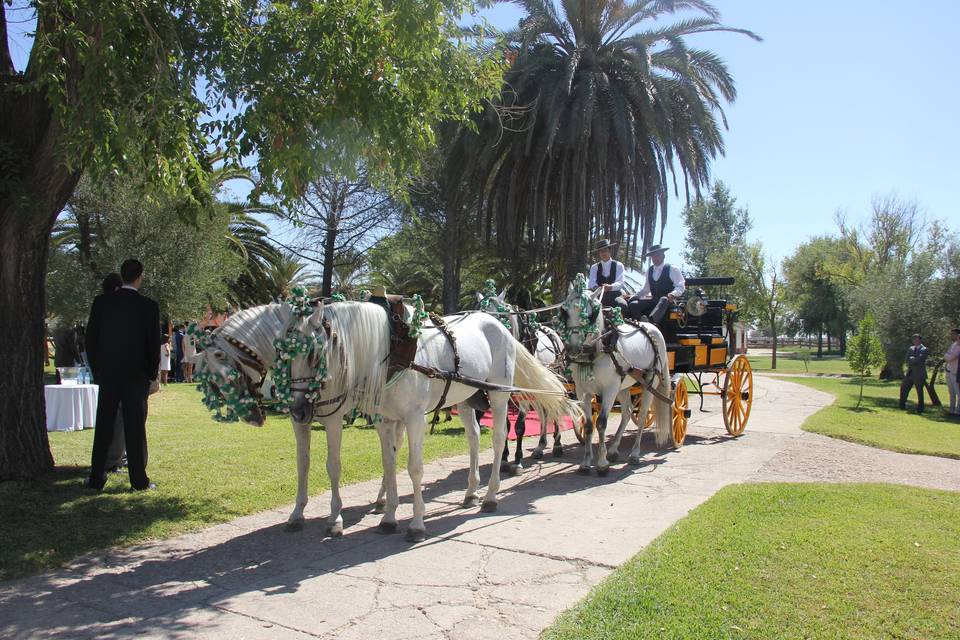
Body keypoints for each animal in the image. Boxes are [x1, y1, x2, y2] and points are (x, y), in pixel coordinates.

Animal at [560, 276, 672, 476]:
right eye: (564, 312)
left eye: (590, 315)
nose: (572, 349)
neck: (596, 351)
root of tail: (651, 326)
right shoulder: (582, 391)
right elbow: (588, 425)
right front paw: (586, 462)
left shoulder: (610, 389)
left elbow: (601, 423)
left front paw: (602, 463)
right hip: (624, 385)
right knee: (627, 412)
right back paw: (613, 450)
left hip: (649, 381)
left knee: (642, 415)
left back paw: (634, 454)